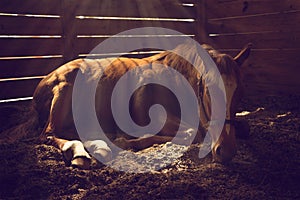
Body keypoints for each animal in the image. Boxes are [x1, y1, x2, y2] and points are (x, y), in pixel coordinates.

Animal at [1, 42, 251, 169]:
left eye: (240, 92)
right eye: (209, 90)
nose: (226, 151)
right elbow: (191, 133)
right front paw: (126, 141)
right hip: (63, 91)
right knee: (48, 133)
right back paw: (81, 153)